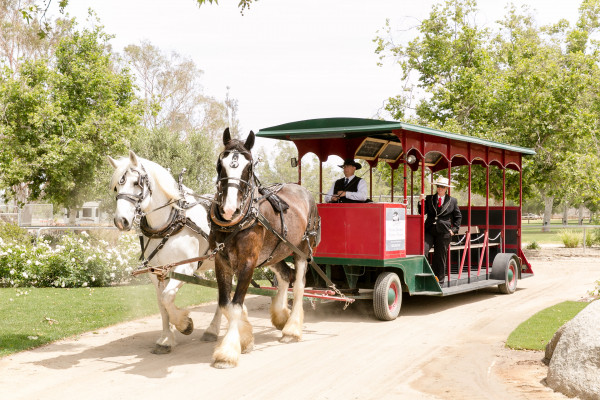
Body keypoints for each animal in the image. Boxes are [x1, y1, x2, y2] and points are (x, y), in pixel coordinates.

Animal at [108, 150, 220, 354]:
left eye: (136, 183)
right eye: (116, 187)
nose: (121, 221)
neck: (171, 222)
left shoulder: (185, 268)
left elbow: (168, 298)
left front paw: (184, 324)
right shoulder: (157, 272)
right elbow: (162, 303)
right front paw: (166, 339)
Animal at [209, 128, 322, 368]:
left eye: (248, 166)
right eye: (220, 164)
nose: (229, 209)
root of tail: (302, 189)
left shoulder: (248, 262)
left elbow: (235, 305)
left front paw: (227, 352)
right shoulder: (221, 260)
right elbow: (225, 304)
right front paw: (245, 338)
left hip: (303, 250)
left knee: (299, 285)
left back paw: (292, 329)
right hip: (275, 253)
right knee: (285, 276)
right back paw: (281, 316)